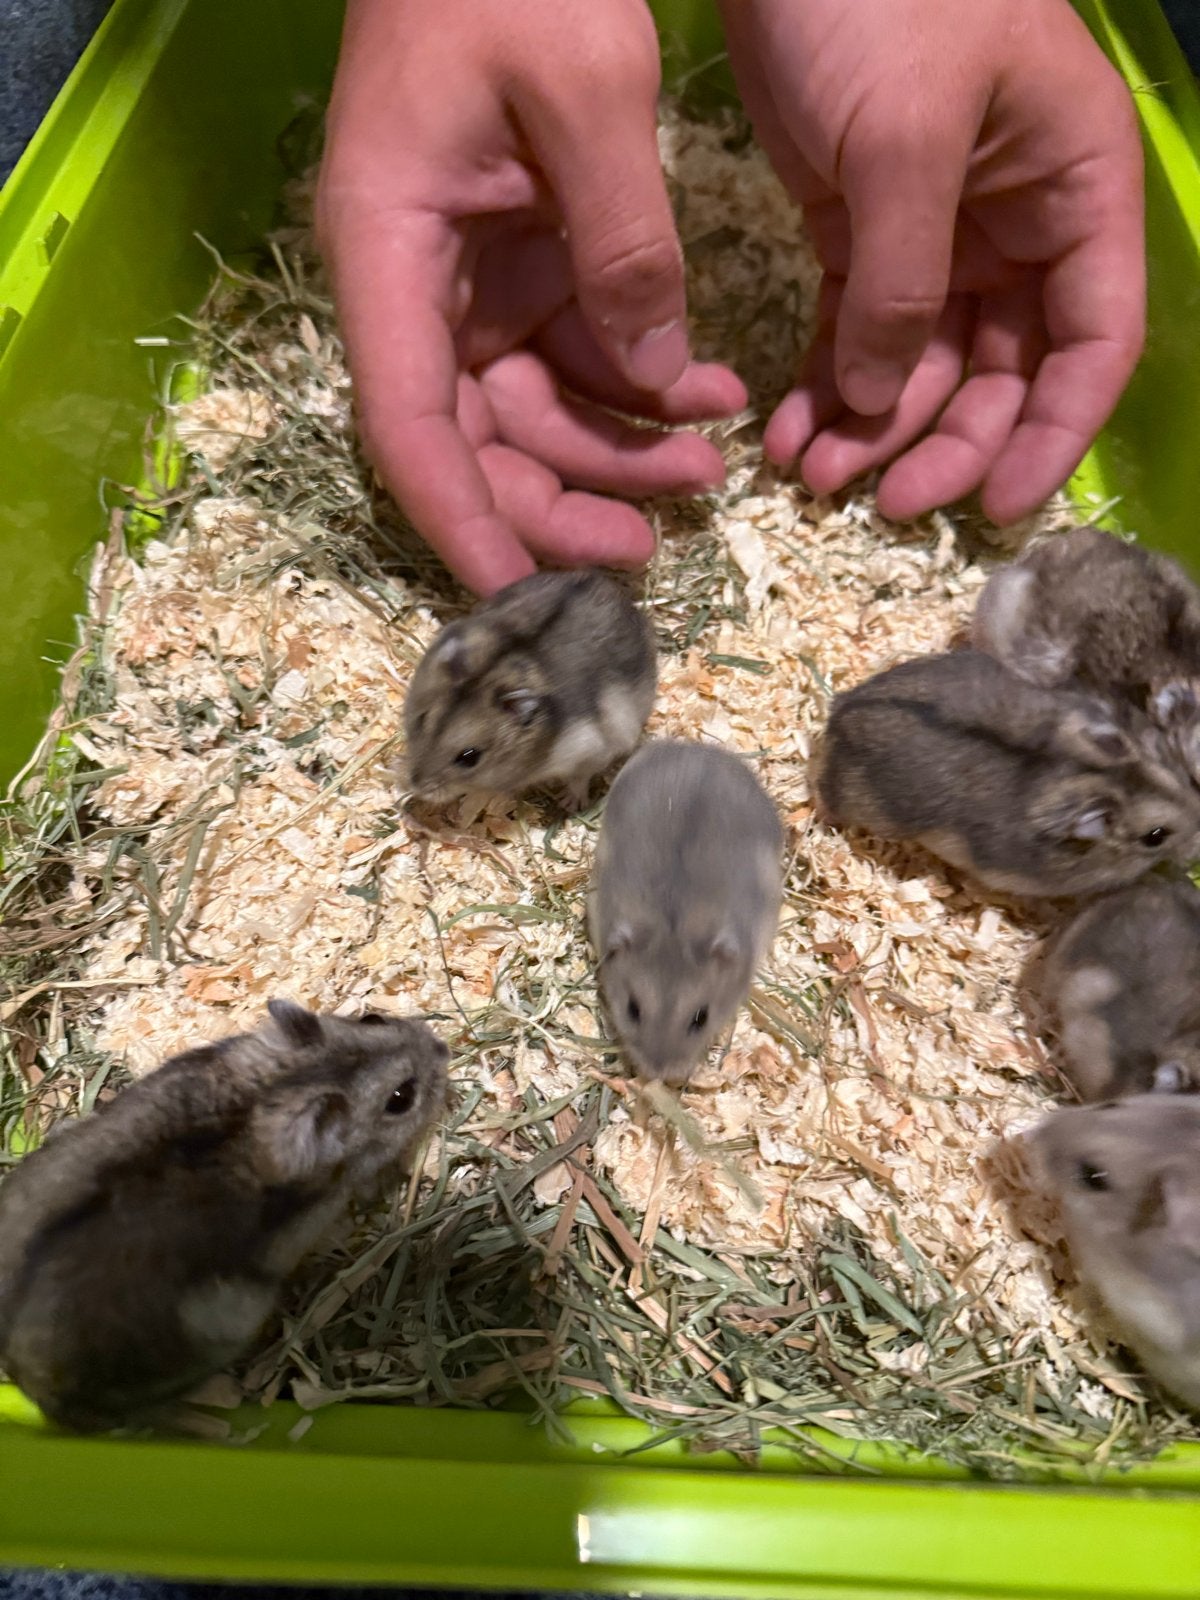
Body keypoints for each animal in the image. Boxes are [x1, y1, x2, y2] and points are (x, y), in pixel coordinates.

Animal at [0, 1001, 448, 1433]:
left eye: (372, 1018)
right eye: (401, 1096)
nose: (444, 1047)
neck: (275, 1088)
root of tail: (30, 1385)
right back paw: (218, 1416)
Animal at [403, 570, 657, 808]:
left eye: (469, 757)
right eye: (421, 720)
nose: (416, 786)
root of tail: (607, 583)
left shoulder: (590, 751)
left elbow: (579, 778)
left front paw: (569, 803)